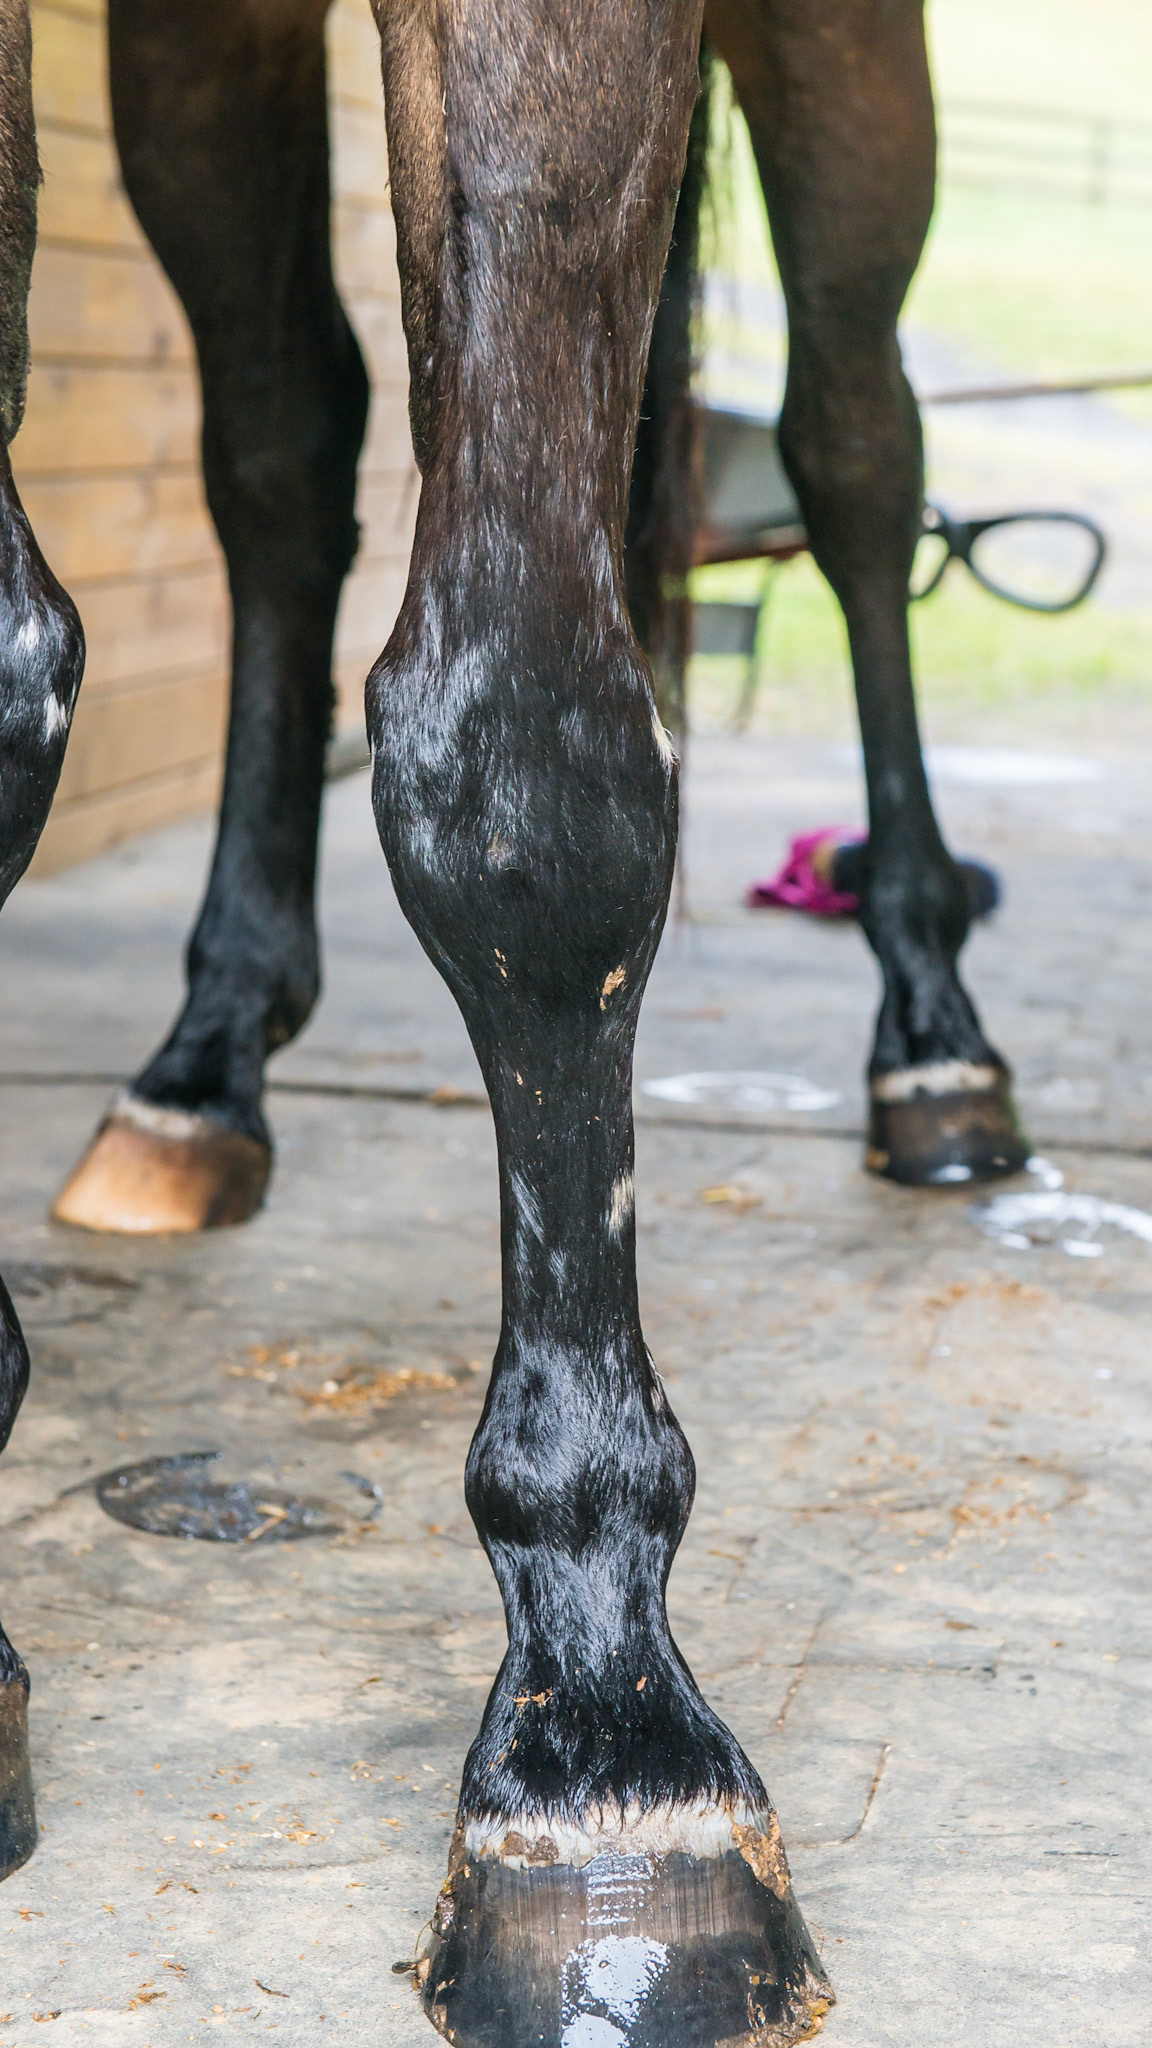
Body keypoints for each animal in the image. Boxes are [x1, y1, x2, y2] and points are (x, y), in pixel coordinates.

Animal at [0, 2, 1029, 2040]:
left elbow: (522, 753)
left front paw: (606, 1740)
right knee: (282, 445)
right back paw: (201, 1064)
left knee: (856, 450)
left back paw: (934, 1041)